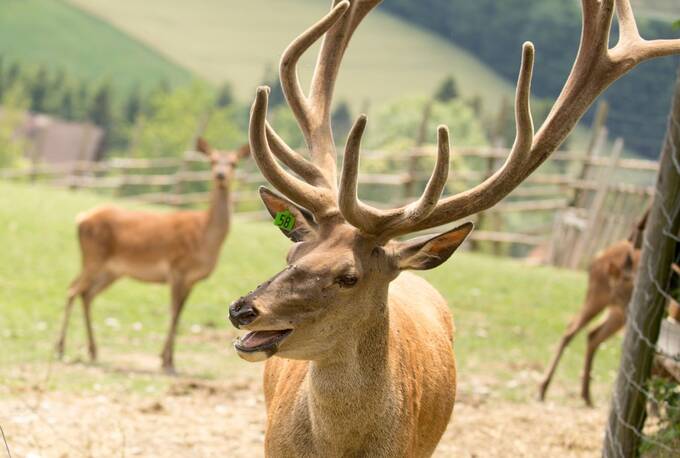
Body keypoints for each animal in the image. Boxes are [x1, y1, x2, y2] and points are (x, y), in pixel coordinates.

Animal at [55, 139, 247, 372]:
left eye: (234, 162)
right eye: (212, 160)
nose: (220, 175)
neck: (205, 237)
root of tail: (81, 218)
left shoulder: (192, 280)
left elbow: (180, 314)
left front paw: (169, 358)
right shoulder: (176, 269)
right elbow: (173, 313)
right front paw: (165, 360)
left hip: (111, 270)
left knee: (86, 294)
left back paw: (92, 350)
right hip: (93, 257)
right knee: (72, 289)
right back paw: (61, 348)